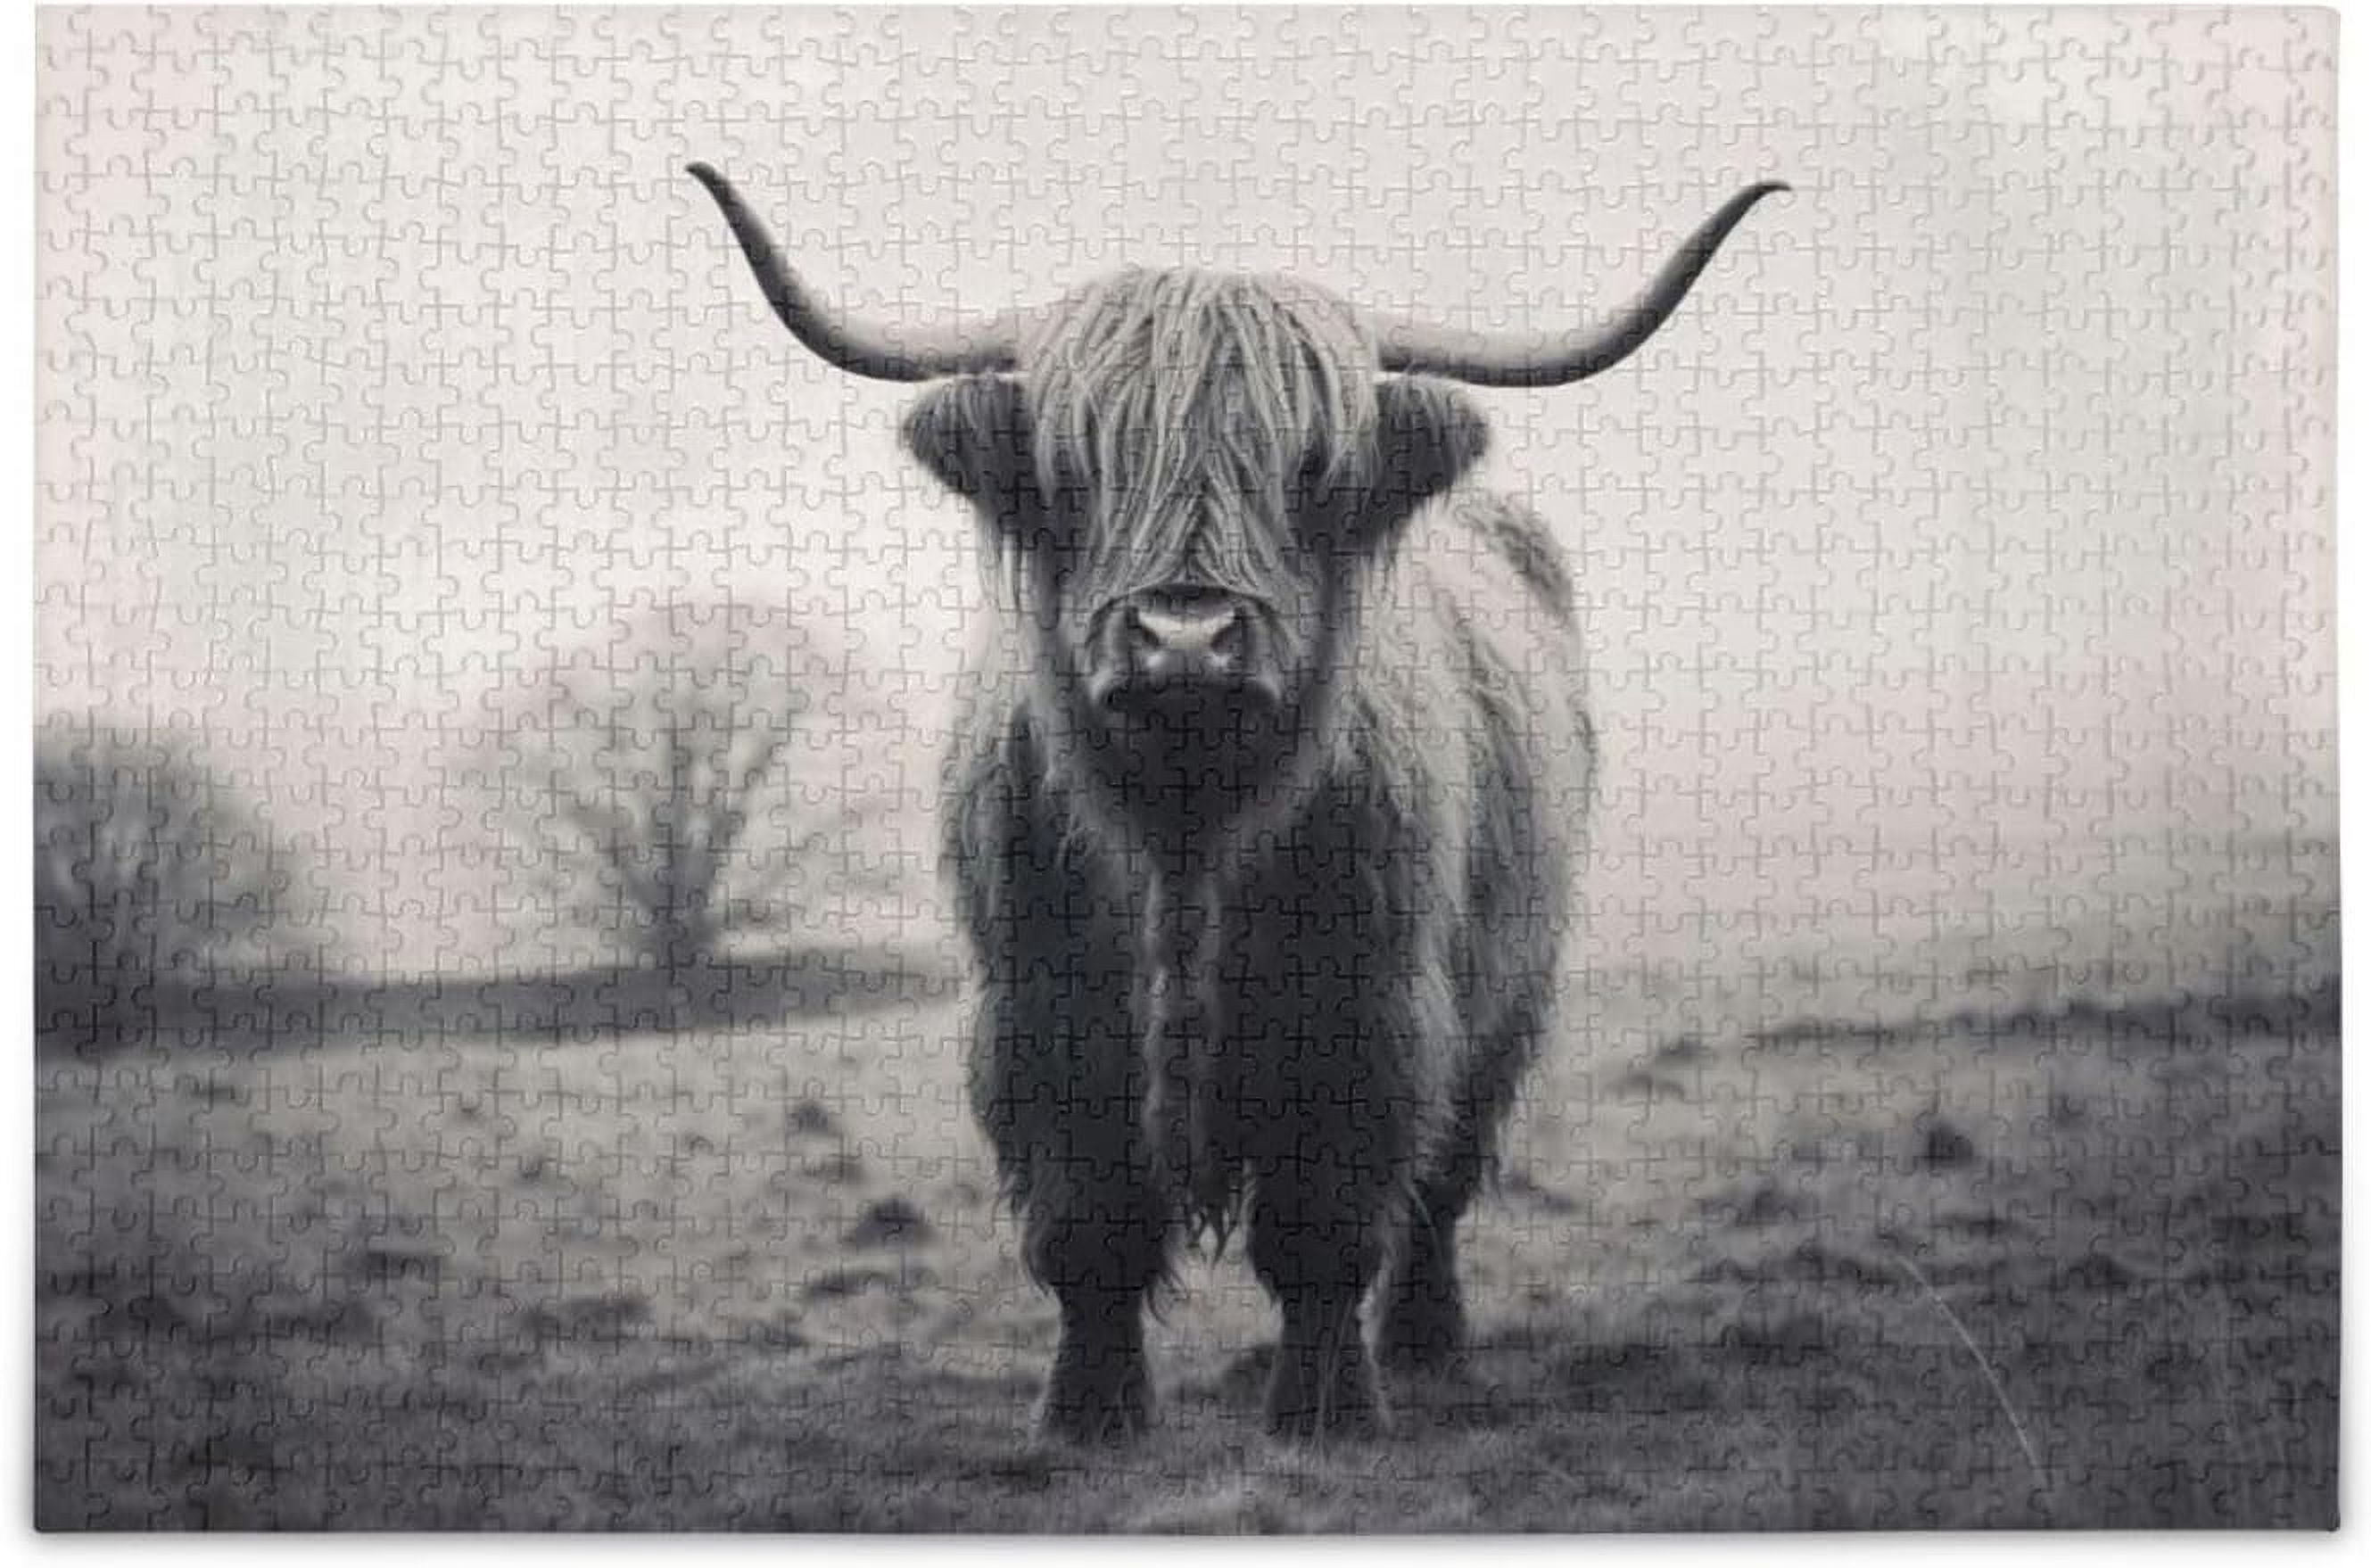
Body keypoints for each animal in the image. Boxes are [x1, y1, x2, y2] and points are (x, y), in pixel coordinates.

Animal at [689, 163, 1785, 1443]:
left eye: (1309, 469)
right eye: (1078, 469)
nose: (1185, 639)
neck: (1186, 833)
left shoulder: (1373, 1017)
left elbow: (1325, 1235)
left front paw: (1324, 1409)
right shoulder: (1036, 1020)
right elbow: (1087, 1232)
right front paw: (1088, 1411)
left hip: (1509, 992)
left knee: (1445, 1183)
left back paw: (1427, 1345)